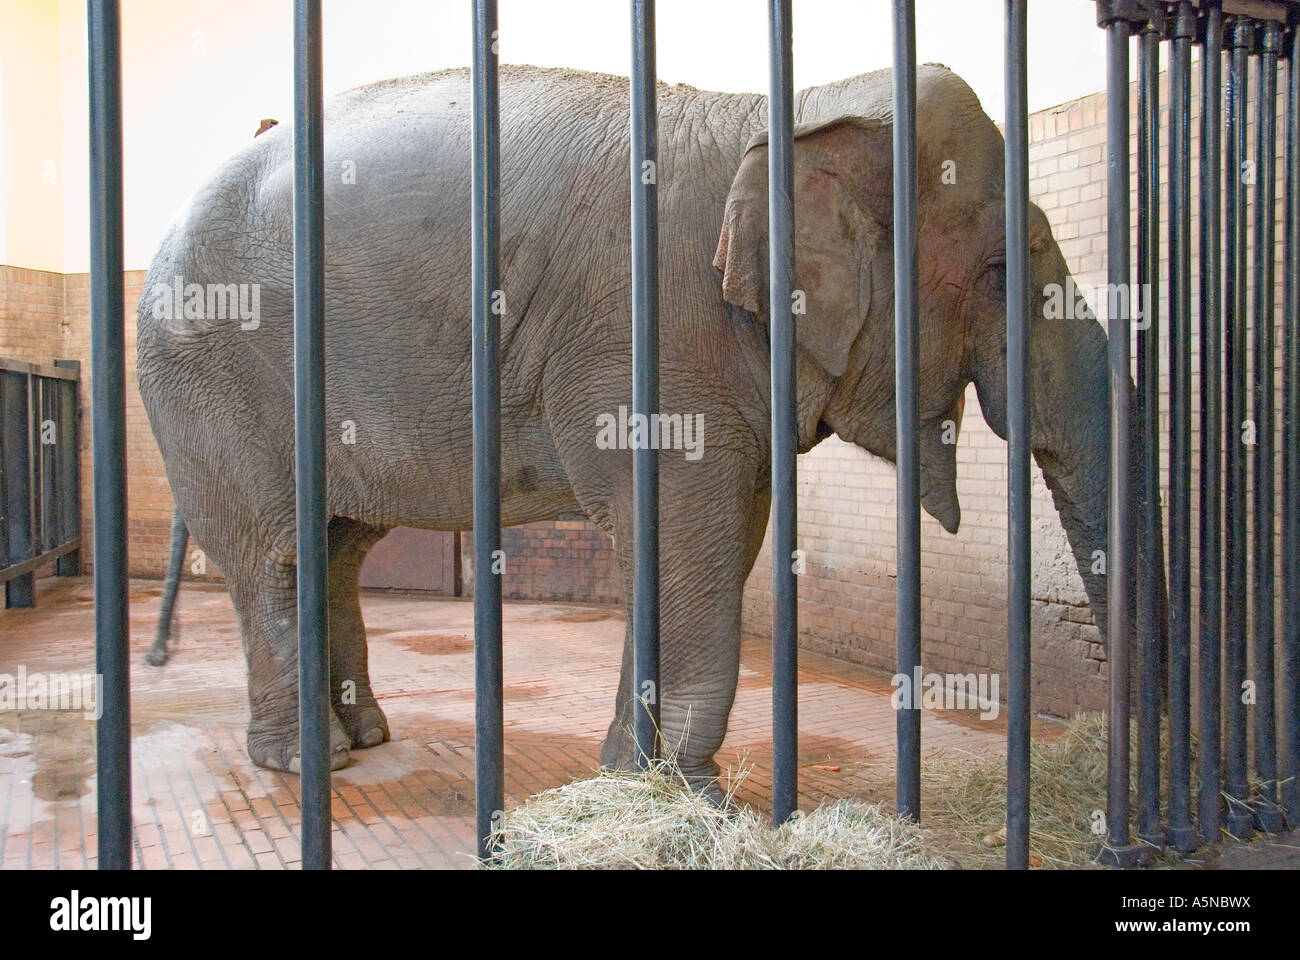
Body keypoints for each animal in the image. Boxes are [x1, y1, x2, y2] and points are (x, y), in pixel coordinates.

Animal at [139, 65, 1170, 785]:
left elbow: (713, 539)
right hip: (213, 375)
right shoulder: (650, 336)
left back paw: (366, 736)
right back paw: (306, 761)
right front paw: (684, 792)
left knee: (341, 546)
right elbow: (687, 537)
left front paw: (633, 773)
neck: (793, 107)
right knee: (276, 553)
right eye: (1002, 270)